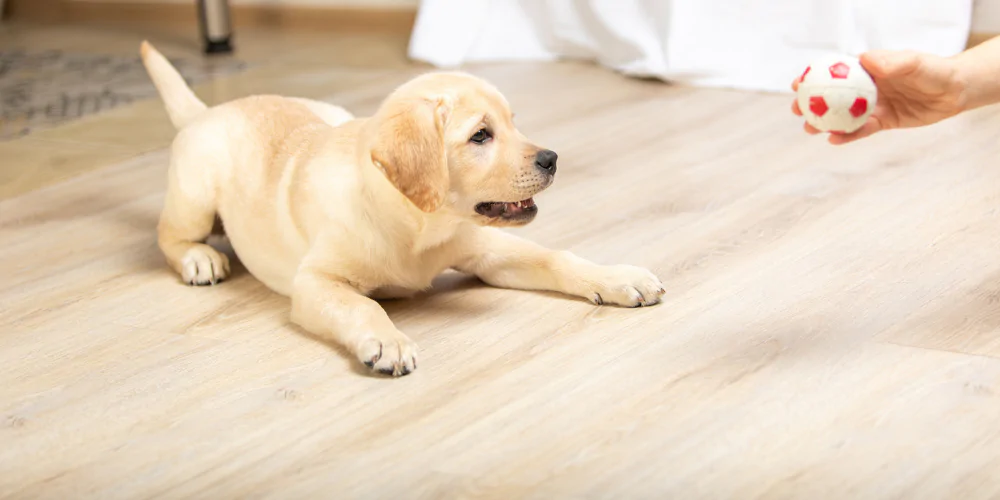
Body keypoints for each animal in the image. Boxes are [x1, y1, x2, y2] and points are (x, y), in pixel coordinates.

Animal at [141, 42, 668, 376]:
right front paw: (388, 341)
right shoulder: (316, 283)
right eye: (481, 135)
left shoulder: (486, 249)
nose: (552, 159)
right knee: (168, 235)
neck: (418, 225)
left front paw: (616, 277)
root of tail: (209, 110)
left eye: (513, 123)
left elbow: (555, 256)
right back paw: (199, 258)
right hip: (196, 194)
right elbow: (363, 304)